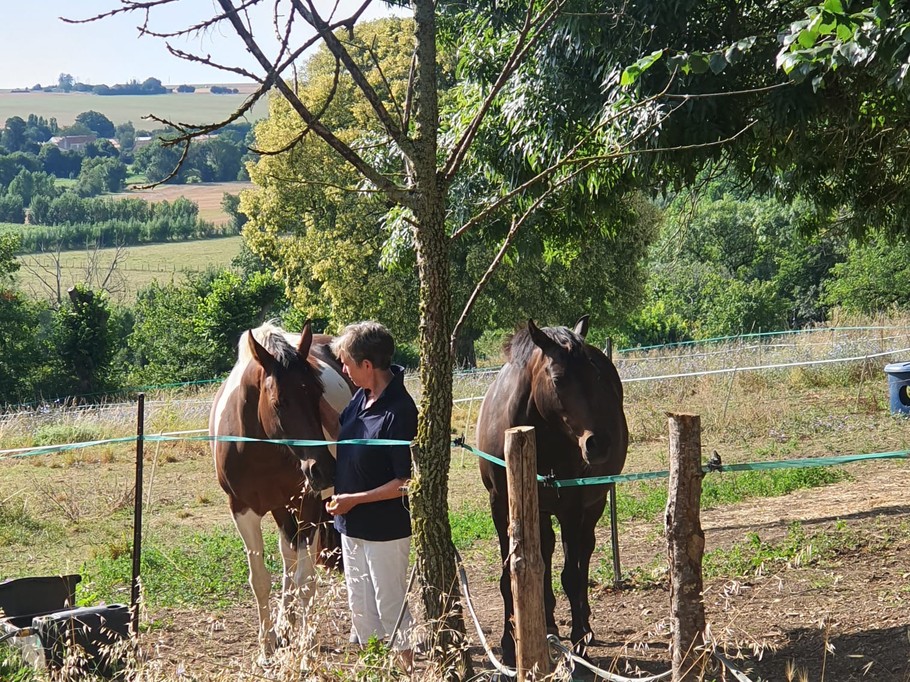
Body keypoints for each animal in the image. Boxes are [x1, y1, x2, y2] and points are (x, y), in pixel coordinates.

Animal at [209, 321, 353, 659]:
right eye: (280, 402)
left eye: (317, 394)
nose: (322, 469)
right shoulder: (242, 510)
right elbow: (260, 579)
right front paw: (267, 644)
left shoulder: (308, 504)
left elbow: (306, 580)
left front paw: (308, 647)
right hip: (282, 510)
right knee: (288, 557)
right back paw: (285, 627)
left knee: (297, 563)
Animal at [476, 315, 628, 665]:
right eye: (558, 379)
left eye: (595, 376)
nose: (598, 445)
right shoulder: (500, 506)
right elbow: (509, 577)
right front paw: (508, 647)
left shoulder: (571, 505)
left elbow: (571, 575)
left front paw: (579, 645)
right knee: (544, 552)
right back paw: (547, 623)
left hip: (594, 503)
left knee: (584, 552)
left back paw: (583, 626)